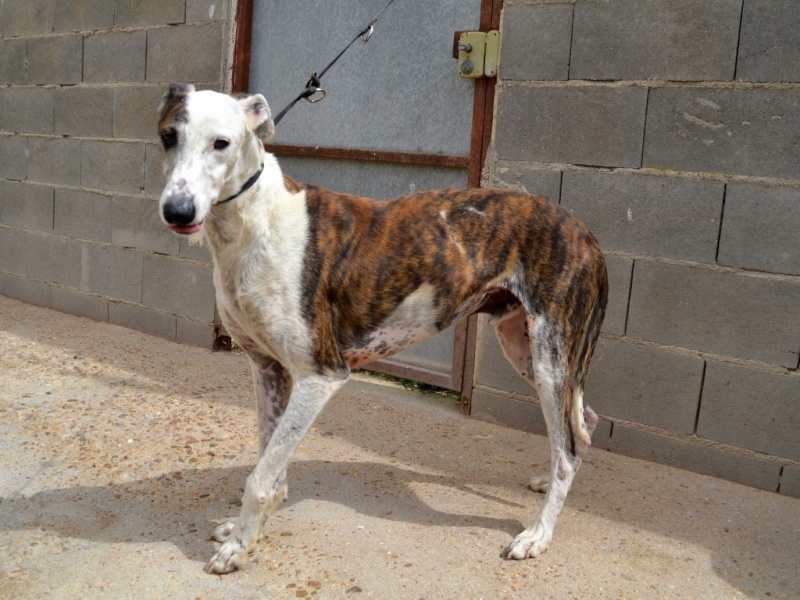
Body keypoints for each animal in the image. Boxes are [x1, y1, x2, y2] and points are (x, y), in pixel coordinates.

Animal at [156, 82, 608, 576]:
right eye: (167, 136)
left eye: (222, 143)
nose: (177, 212)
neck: (256, 222)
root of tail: (586, 232)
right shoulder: (267, 369)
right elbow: (269, 461)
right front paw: (247, 529)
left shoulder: (321, 374)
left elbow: (260, 476)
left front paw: (238, 548)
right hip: (525, 349)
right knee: (582, 425)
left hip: (550, 358)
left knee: (568, 450)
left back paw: (538, 535)